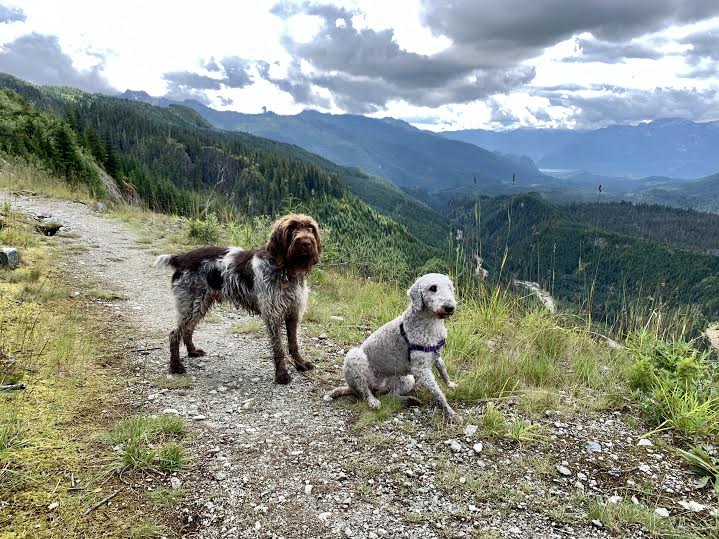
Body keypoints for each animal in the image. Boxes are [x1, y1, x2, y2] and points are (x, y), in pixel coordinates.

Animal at [324, 274, 462, 422]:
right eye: (432, 288)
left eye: (450, 288)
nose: (450, 307)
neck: (430, 323)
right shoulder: (421, 370)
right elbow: (438, 393)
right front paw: (451, 413)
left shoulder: (435, 354)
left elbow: (443, 369)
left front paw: (450, 384)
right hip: (355, 359)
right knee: (364, 391)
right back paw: (373, 401)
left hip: (407, 380)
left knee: (388, 396)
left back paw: (409, 400)